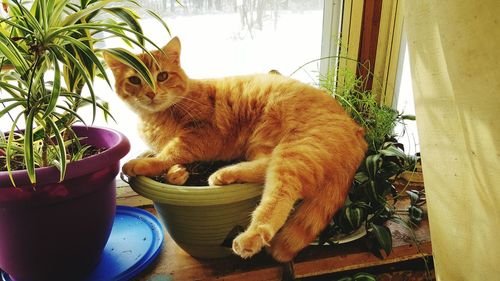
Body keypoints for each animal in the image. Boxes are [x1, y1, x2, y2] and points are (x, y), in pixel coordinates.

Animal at [104, 36, 368, 260]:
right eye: (135, 80)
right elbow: (170, 161)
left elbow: (169, 153)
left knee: (279, 196)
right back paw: (224, 175)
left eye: (162, 76)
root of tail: (357, 129)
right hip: (269, 148)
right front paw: (177, 173)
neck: (156, 118)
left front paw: (142, 164)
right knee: (264, 168)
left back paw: (250, 237)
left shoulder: (200, 135)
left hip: (296, 152)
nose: (150, 93)